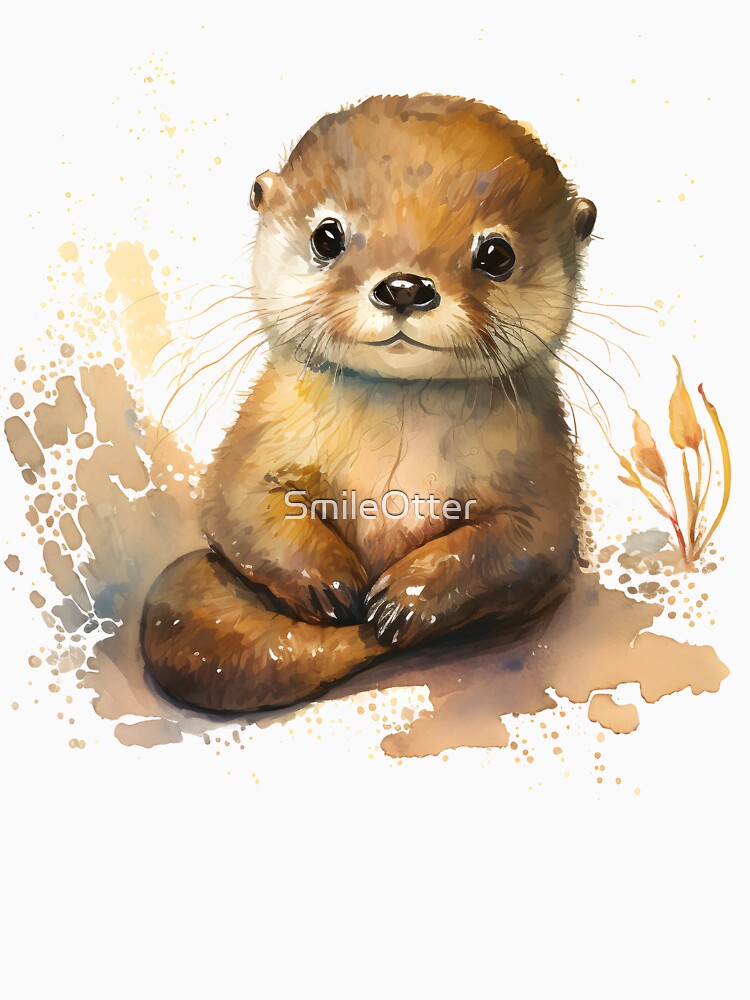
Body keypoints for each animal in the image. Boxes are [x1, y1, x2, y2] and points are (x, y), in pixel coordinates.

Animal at [141, 94, 597, 712]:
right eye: (327, 236)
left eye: (496, 253)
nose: (405, 287)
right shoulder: (256, 436)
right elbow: (236, 505)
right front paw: (330, 582)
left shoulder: (543, 479)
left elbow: (519, 545)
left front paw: (407, 598)